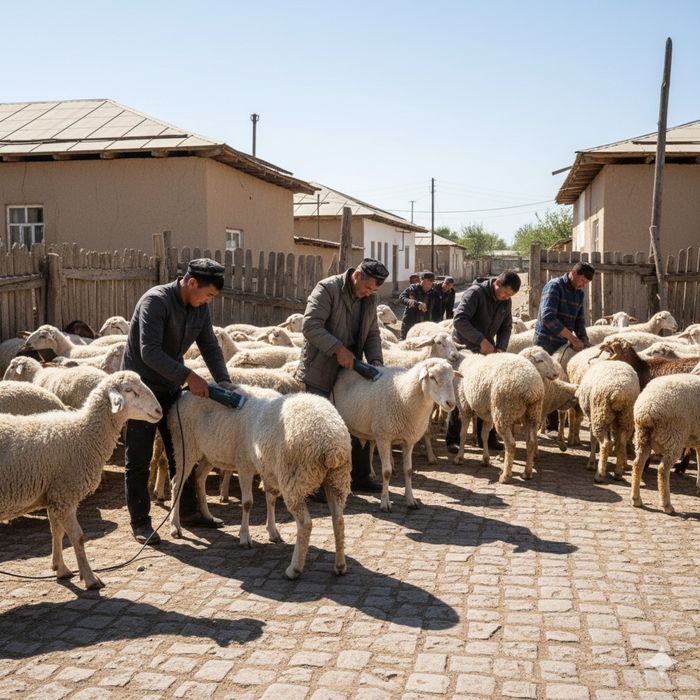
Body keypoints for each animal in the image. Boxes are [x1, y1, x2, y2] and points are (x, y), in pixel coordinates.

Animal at [0, 371, 161, 589]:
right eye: (128, 390)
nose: (159, 410)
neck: (83, 434)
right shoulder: (65, 495)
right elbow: (78, 537)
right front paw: (90, 578)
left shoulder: (54, 496)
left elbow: (56, 532)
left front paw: (60, 568)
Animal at [168, 386, 351, 579]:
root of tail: (331, 445)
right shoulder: (246, 464)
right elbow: (248, 503)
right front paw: (245, 537)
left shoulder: (266, 468)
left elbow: (270, 499)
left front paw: (271, 531)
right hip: (185, 445)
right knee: (177, 483)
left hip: (331, 479)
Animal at [333, 358, 458, 512]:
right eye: (432, 377)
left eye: (452, 378)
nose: (450, 403)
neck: (403, 394)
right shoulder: (384, 437)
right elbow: (386, 472)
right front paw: (385, 502)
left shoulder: (409, 440)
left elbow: (408, 470)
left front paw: (411, 500)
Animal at [452, 351, 553, 483]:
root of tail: (531, 389)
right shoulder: (487, 414)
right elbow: (484, 435)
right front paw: (485, 459)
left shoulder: (465, 407)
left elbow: (463, 434)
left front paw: (459, 457)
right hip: (531, 414)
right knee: (530, 442)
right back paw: (527, 472)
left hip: (503, 411)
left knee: (511, 444)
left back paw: (505, 476)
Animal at [630, 374, 700, 514]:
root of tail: (647, 409)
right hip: (673, 437)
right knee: (663, 469)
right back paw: (667, 505)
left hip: (642, 438)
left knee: (637, 464)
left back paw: (636, 499)